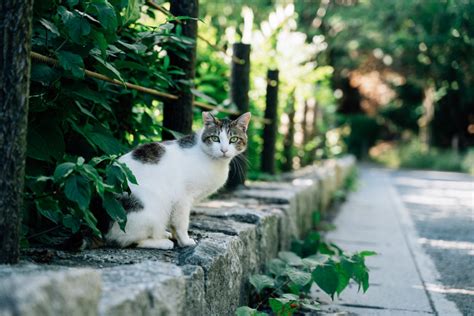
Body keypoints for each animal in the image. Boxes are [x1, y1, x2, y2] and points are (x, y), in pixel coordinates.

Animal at [104, 111, 252, 249]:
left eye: (233, 139)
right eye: (215, 138)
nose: (224, 150)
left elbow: (175, 223)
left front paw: (177, 237)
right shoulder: (183, 198)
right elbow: (182, 222)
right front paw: (185, 241)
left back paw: (163, 234)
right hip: (153, 209)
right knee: (125, 240)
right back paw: (162, 242)